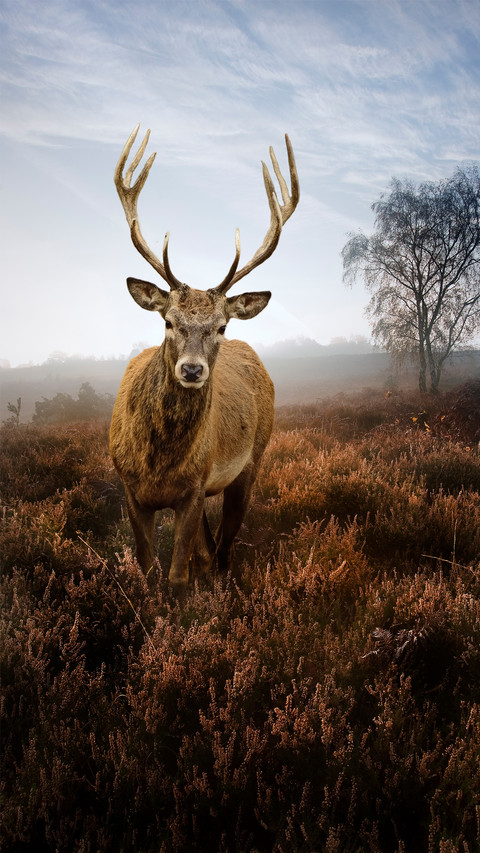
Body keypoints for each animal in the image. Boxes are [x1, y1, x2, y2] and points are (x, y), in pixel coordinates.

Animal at [110, 125, 299, 597]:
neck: (158, 462)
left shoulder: (194, 488)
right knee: (209, 549)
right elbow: (147, 567)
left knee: (225, 548)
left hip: (251, 461)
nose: (192, 369)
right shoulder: (130, 487)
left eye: (221, 327)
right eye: (168, 321)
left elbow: (178, 575)